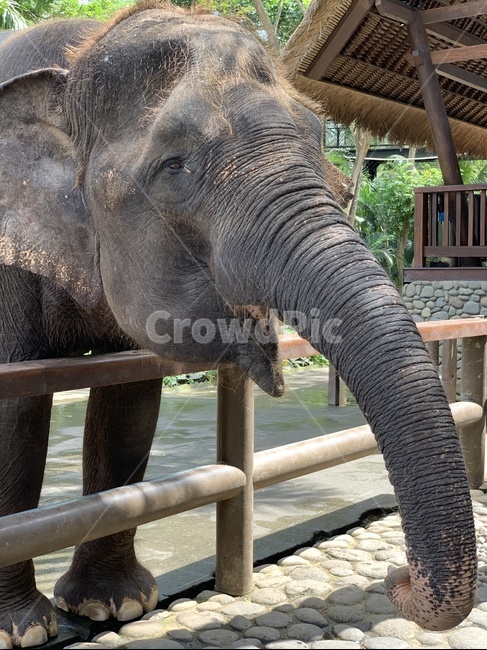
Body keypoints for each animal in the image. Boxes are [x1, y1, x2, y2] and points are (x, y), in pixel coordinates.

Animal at [0, 1, 477, 647]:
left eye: (316, 137)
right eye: (174, 165)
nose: (396, 577)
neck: (79, 50)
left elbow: (130, 401)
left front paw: (116, 606)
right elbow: (16, 410)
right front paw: (19, 630)